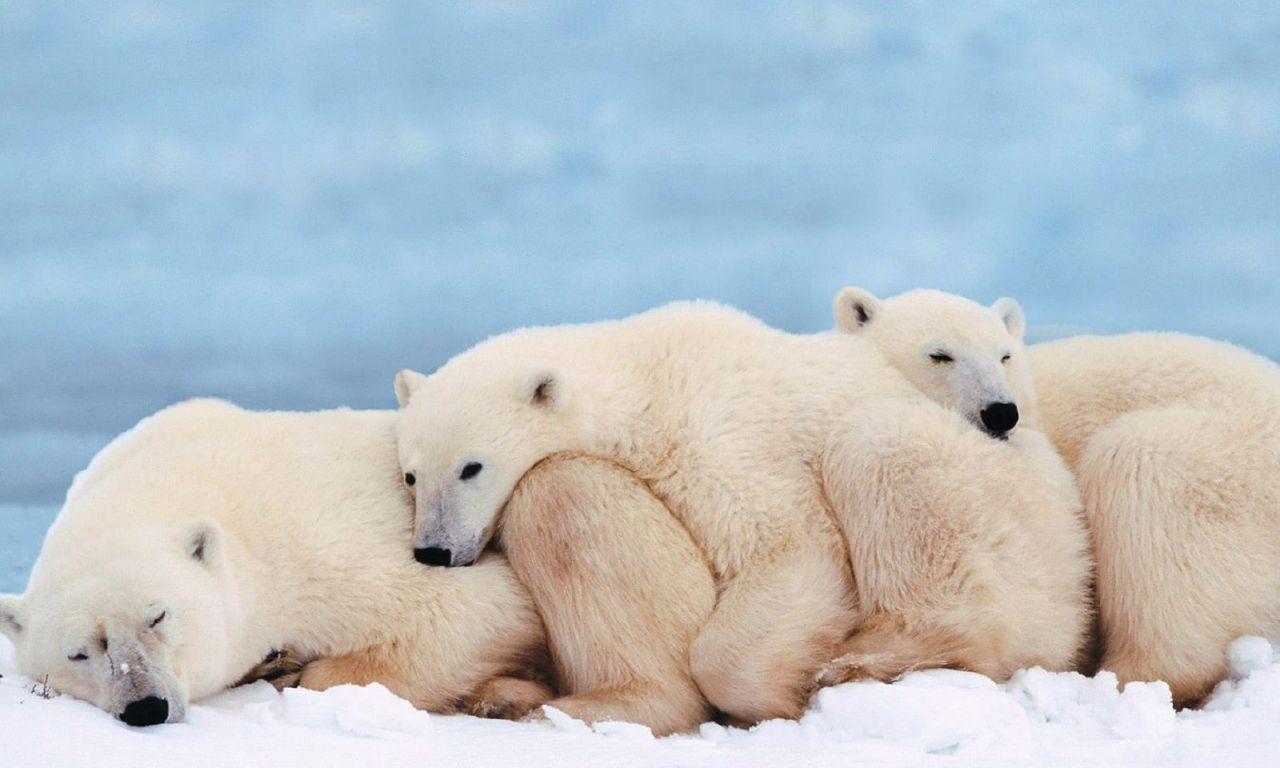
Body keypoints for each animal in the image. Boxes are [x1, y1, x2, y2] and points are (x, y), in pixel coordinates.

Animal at [0, 399, 553, 725]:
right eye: (78, 653)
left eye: (157, 616)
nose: (146, 707)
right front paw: (275, 663)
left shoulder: (325, 547)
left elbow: (480, 607)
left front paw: (294, 671)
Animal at [393, 300, 1092, 723]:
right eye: (411, 474)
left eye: (471, 467)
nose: (434, 550)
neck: (646, 374)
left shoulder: (719, 434)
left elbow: (788, 548)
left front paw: (777, 694)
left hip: (1005, 514)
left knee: (879, 447)